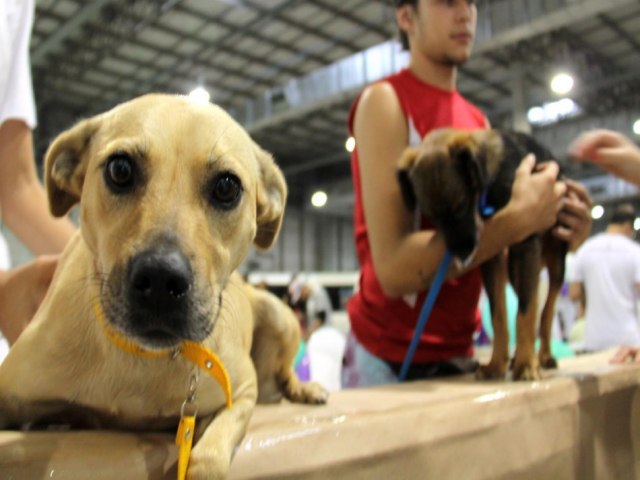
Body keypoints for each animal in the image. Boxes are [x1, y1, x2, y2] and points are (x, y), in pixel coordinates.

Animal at [0, 94, 328, 480]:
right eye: (120, 169)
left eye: (227, 186)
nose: (160, 279)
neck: (142, 358)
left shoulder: (241, 391)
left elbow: (208, 459)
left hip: (279, 315)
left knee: (285, 370)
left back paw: (304, 388)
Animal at [398, 128, 568, 382]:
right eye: (433, 217)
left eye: (461, 205)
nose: (462, 254)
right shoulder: (493, 258)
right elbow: (499, 315)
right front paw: (497, 364)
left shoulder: (526, 244)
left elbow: (526, 313)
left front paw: (526, 364)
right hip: (516, 270)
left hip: (556, 261)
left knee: (546, 311)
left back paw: (544, 357)